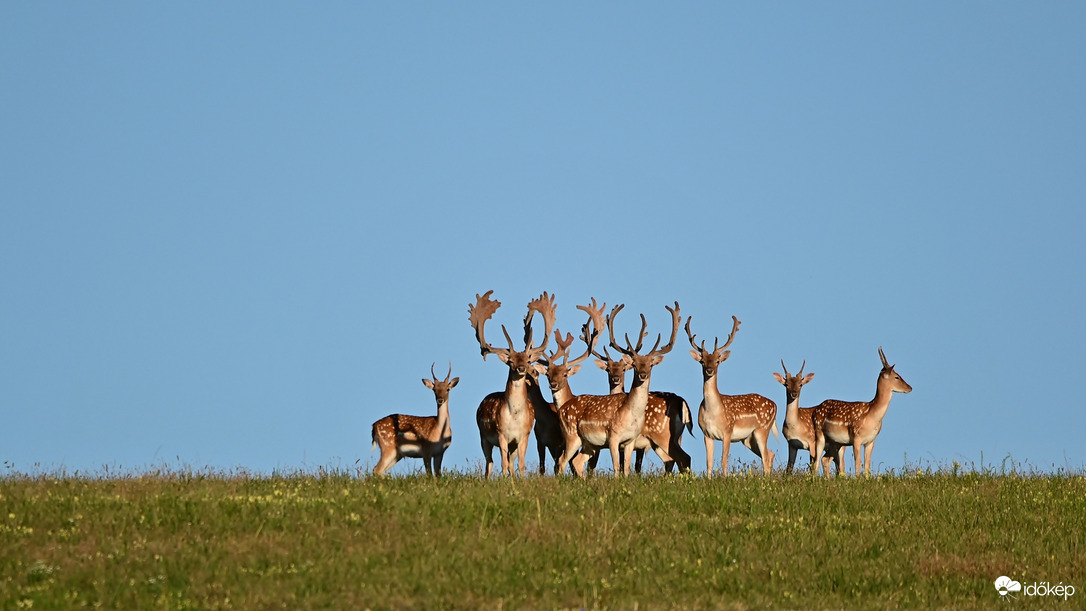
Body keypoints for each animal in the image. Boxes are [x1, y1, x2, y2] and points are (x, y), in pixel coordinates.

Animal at [466, 290, 556, 477]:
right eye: (511, 361)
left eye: (528, 360)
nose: (521, 368)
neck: (514, 416)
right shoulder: (501, 434)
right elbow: (503, 464)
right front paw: (505, 480)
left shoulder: (524, 436)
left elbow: (520, 464)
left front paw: (520, 480)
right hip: (483, 436)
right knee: (490, 462)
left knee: (511, 462)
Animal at [556, 301, 682, 477]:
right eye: (634, 364)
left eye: (651, 364)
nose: (643, 374)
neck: (630, 416)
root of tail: (561, 408)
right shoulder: (613, 437)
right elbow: (617, 466)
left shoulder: (629, 441)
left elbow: (627, 468)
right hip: (572, 435)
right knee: (562, 460)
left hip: (589, 443)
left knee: (576, 462)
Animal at [686, 314, 781, 477]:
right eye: (702, 361)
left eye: (718, 361)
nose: (710, 370)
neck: (713, 413)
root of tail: (774, 405)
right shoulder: (707, 434)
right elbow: (709, 462)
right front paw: (709, 479)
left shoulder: (728, 431)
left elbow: (724, 460)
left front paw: (725, 479)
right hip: (748, 439)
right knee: (770, 454)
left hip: (763, 428)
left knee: (765, 456)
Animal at [812, 349, 912, 477]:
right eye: (897, 377)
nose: (910, 387)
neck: (872, 416)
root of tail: (815, 410)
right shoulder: (856, 436)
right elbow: (858, 462)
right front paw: (857, 479)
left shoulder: (871, 440)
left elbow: (867, 464)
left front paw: (866, 479)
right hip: (819, 432)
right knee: (816, 461)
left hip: (836, 441)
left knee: (825, 459)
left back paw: (827, 479)